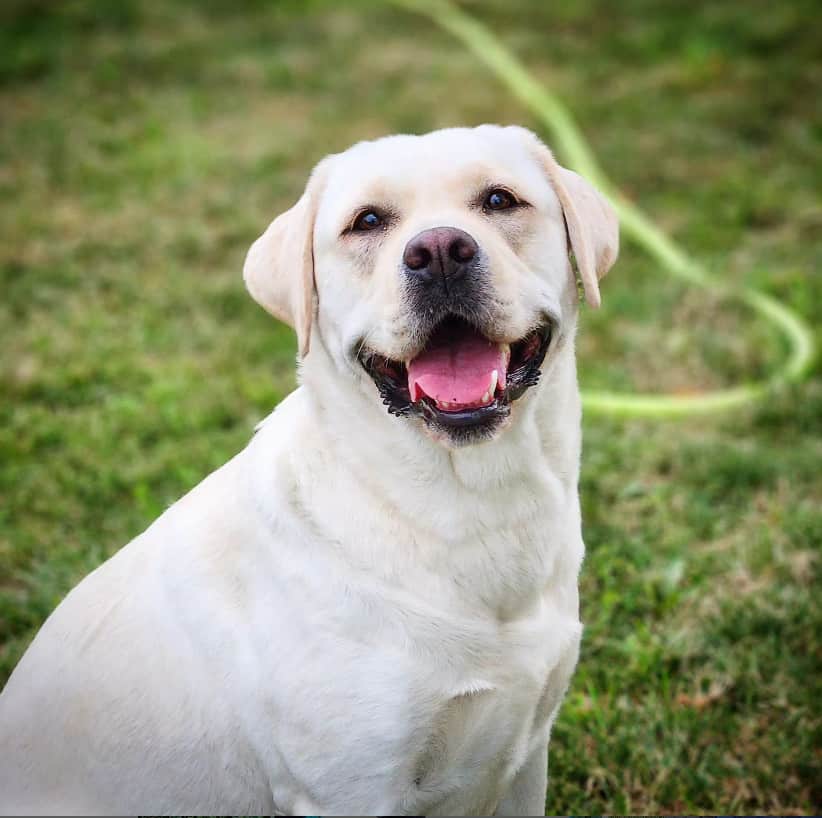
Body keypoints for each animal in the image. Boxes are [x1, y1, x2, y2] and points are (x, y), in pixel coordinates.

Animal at [0, 124, 616, 812]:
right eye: (367, 221)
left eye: (500, 200)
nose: (439, 252)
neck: (464, 507)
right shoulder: (349, 791)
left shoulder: (525, 756)